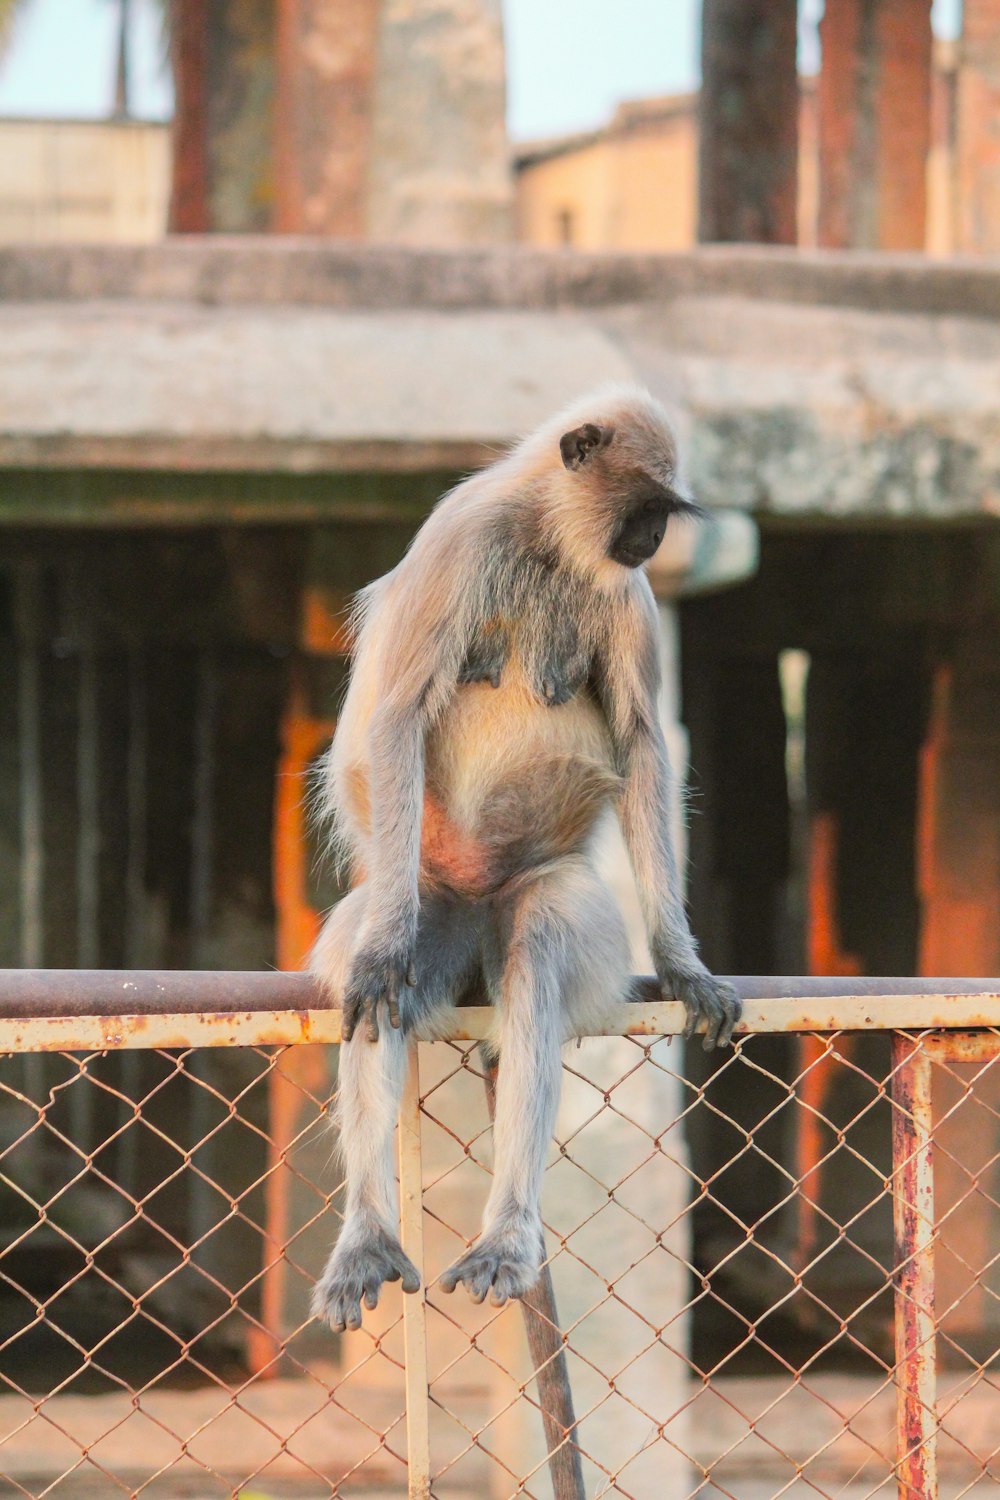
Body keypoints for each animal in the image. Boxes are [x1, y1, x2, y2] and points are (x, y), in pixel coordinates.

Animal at [313, 381, 743, 1332]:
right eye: (646, 511)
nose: (653, 541)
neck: (548, 540)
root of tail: (477, 905)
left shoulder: (628, 594)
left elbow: (644, 743)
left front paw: (683, 964)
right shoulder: (462, 538)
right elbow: (397, 713)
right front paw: (384, 956)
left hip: (527, 896)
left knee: (539, 948)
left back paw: (506, 1235)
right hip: (425, 888)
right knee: (378, 981)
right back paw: (368, 1234)